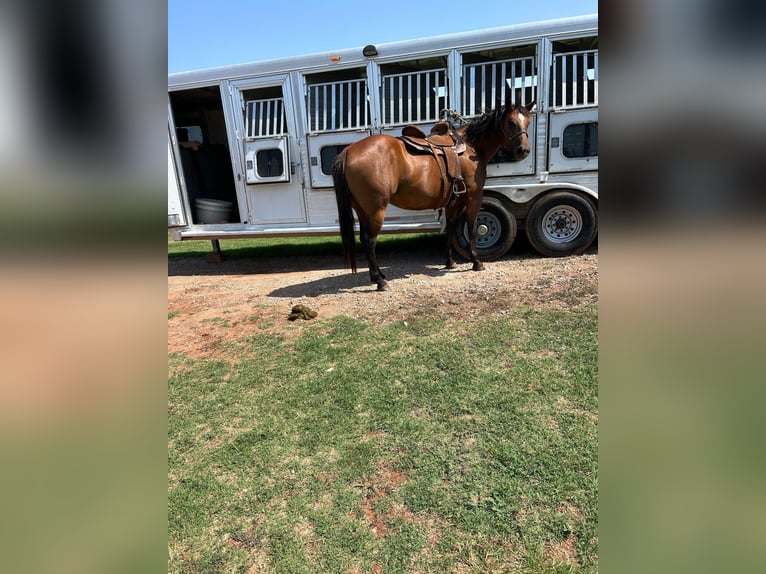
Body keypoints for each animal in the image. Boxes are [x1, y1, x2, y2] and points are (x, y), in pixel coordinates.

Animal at [332, 101, 534, 291]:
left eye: (528, 121)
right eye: (510, 122)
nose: (524, 150)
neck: (470, 148)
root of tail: (348, 152)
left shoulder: (453, 202)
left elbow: (450, 228)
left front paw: (450, 262)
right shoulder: (474, 196)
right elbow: (473, 228)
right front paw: (476, 262)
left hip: (361, 209)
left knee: (364, 239)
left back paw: (378, 276)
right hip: (376, 210)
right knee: (370, 241)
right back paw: (380, 281)